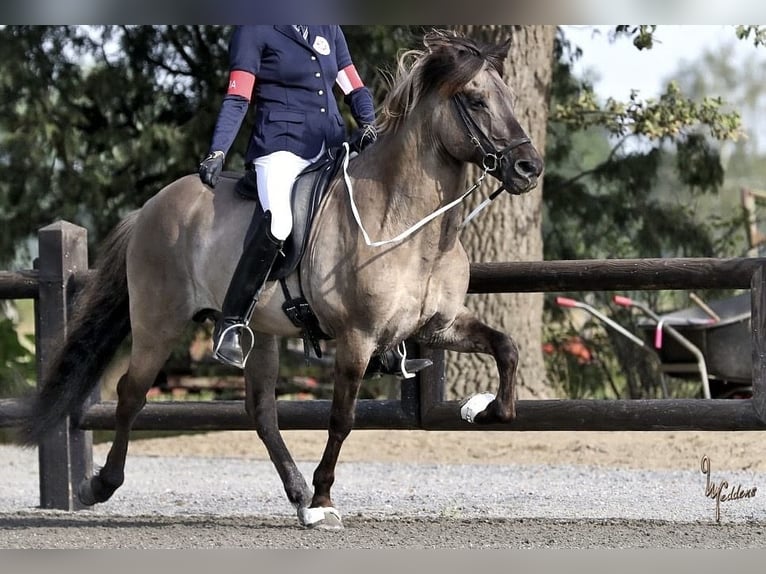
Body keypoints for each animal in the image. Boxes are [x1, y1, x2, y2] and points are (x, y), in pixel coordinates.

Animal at [19, 31, 544, 532]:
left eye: (509, 97)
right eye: (475, 100)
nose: (529, 168)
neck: (408, 224)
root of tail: (152, 206)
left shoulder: (439, 327)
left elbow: (506, 348)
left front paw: (484, 409)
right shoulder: (356, 339)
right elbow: (341, 419)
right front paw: (325, 497)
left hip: (261, 333)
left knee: (262, 412)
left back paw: (297, 497)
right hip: (158, 322)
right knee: (132, 393)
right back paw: (99, 486)